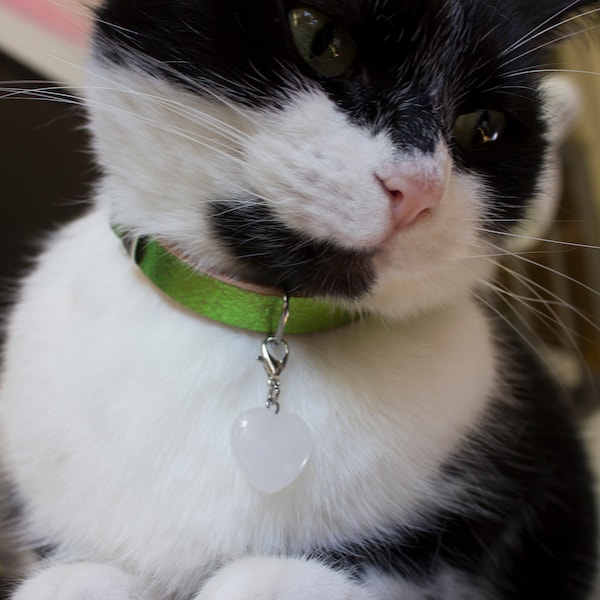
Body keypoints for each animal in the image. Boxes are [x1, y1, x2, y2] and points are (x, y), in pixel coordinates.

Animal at [1, 1, 600, 600]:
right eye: (319, 38)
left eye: (484, 126)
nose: (419, 189)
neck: (257, 314)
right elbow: (76, 575)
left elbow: (264, 577)